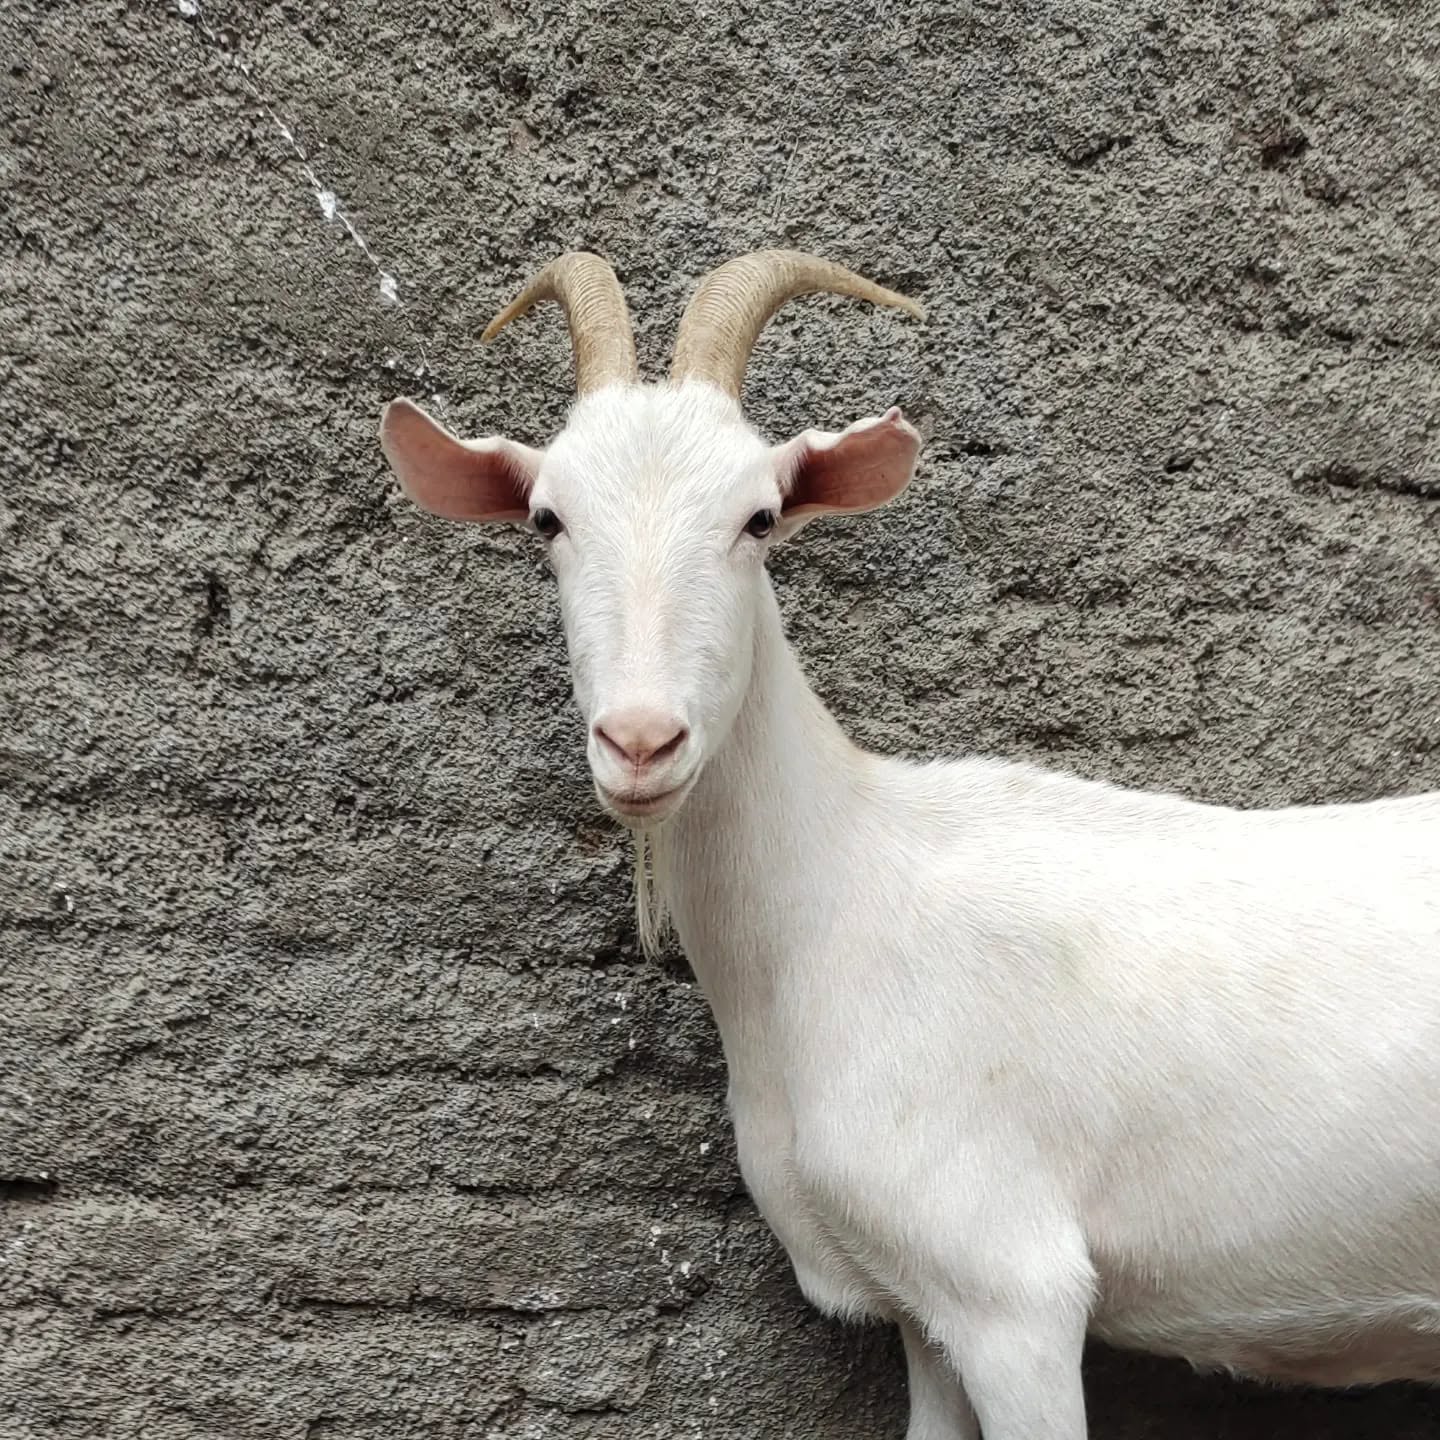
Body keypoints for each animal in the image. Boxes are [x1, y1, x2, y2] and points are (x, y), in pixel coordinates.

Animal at [378, 250, 1440, 1440]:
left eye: (759, 517)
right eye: (548, 520)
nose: (642, 741)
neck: (838, 904)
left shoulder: (1009, 1287)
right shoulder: (921, 1308)